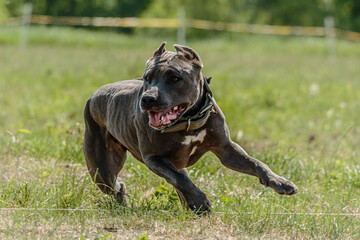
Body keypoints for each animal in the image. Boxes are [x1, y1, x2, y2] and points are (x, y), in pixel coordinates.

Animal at [84, 42, 298, 213]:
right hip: (102, 171)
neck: (188, 120)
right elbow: (180, 180)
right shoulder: (154, 158)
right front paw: (200, 201)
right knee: (117, 184)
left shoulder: (227, 150)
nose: (148, 99)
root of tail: (93, 95)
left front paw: (281, 182)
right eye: (147, 78)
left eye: (175, 78)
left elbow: (256, 163)